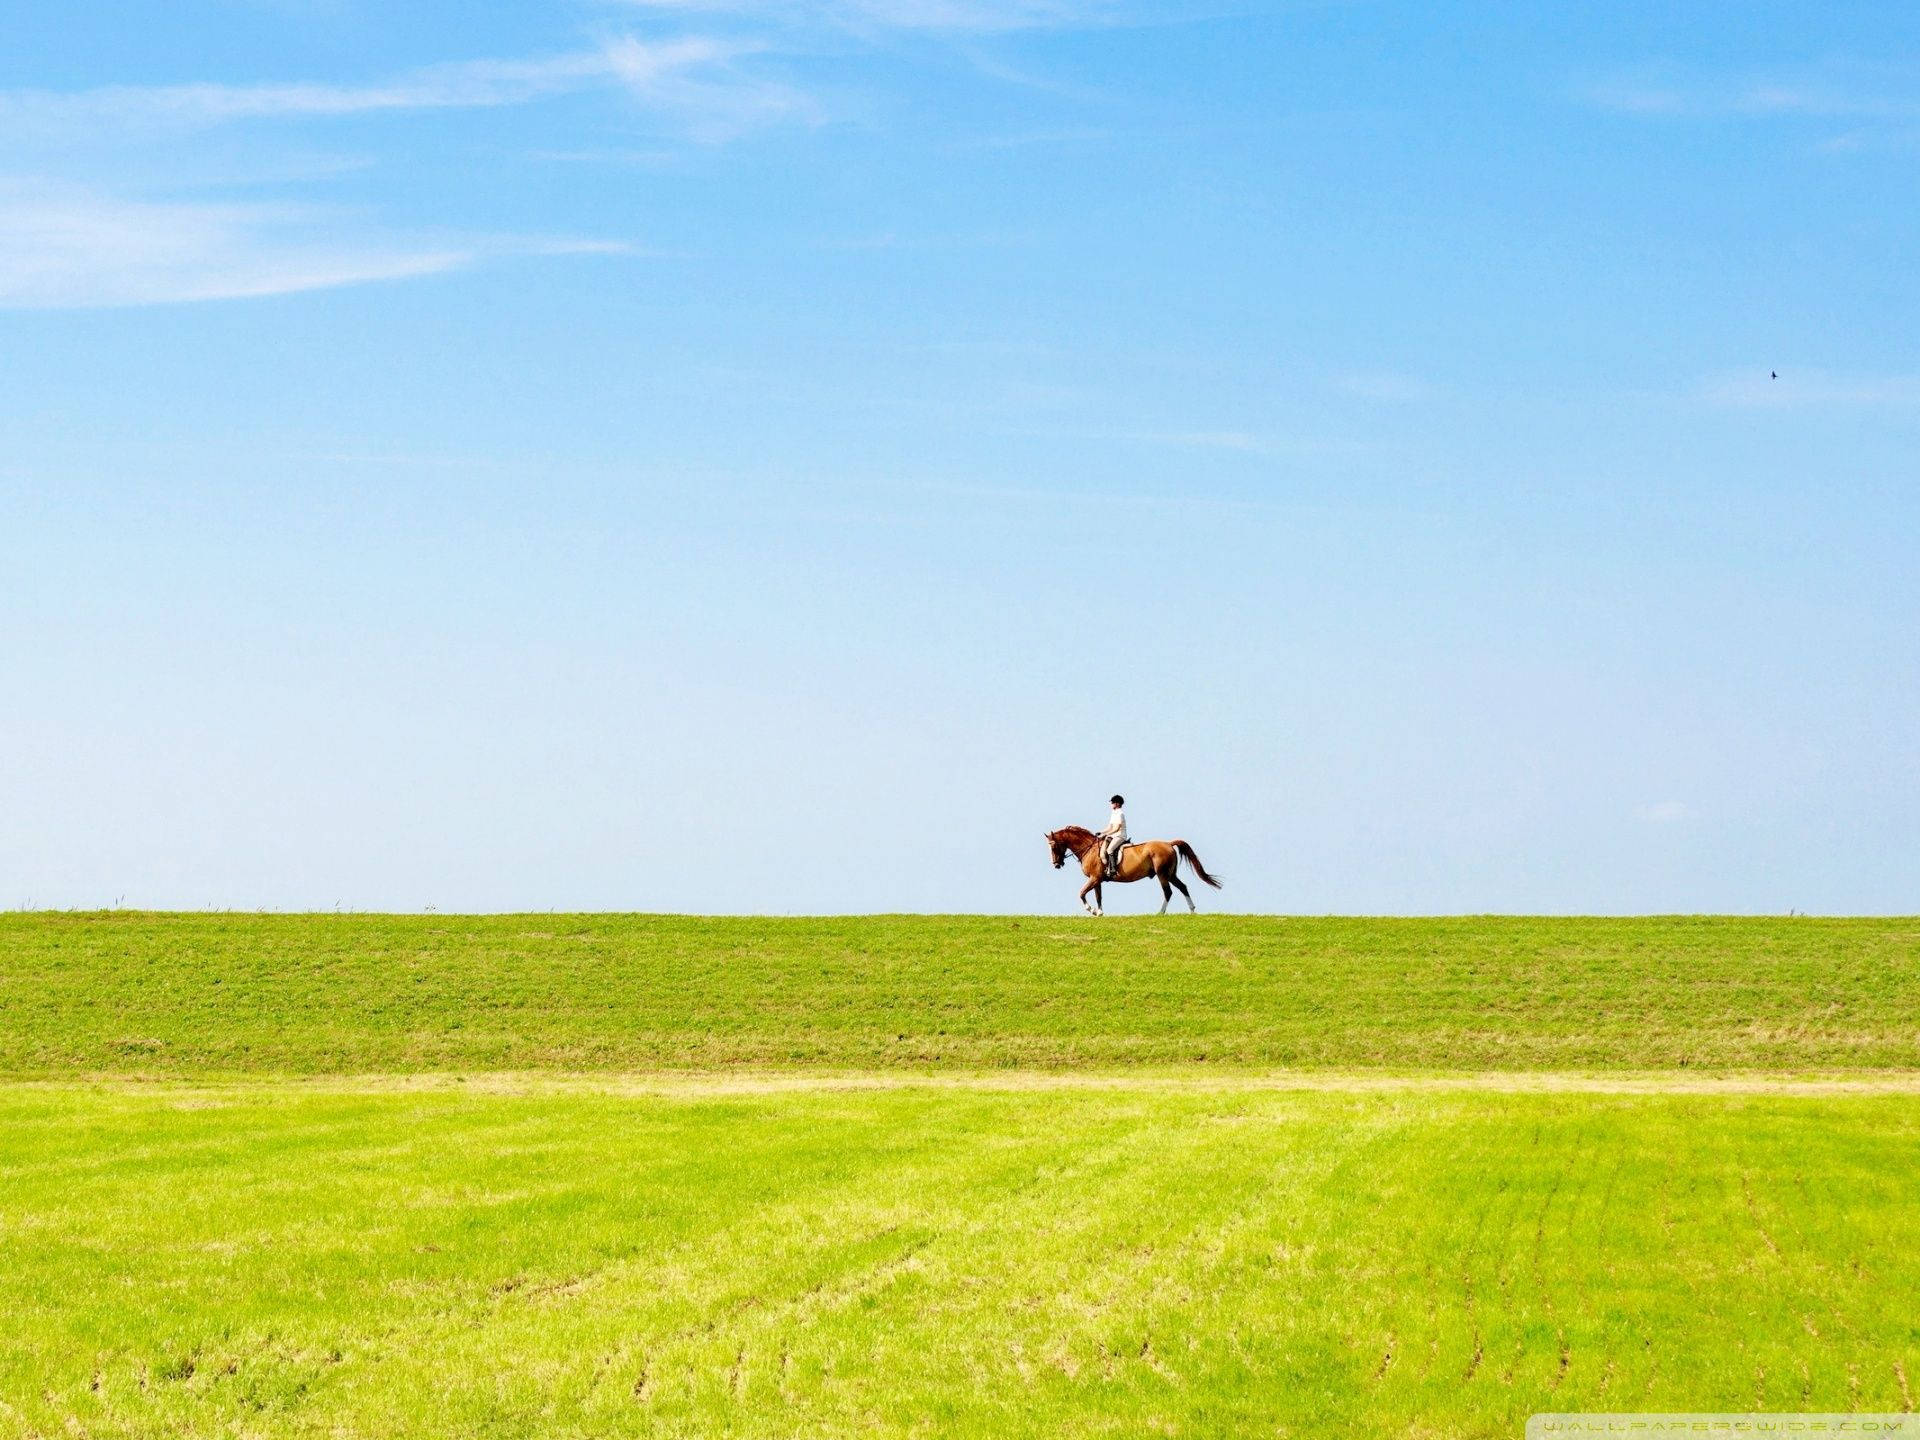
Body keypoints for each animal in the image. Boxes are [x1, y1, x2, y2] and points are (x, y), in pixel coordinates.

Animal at [1044, 829, 1221, 917]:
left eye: (1053, 846)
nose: (1056, 864)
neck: (1089, 848)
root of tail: (1168, 843)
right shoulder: (1097, 880)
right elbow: (1098, 896)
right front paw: (1100, 912)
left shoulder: (1094, 878)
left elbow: (1081, 894)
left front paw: (1093, 910)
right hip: (1171, 874)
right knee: (1183, 887)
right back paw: (1192, 910)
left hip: (1162, 874)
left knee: (1168, 892)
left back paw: (1160, 913)